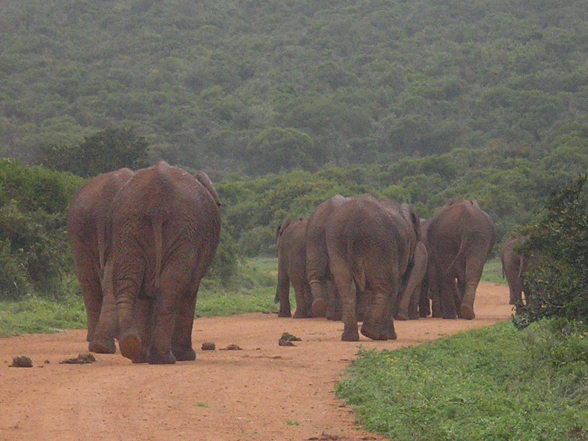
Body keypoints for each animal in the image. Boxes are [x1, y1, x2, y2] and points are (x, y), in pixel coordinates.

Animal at [110, 162, 220, 364]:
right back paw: (165, 358)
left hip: (127, 225)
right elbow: (190, 290)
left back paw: (134, 349)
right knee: (171, 289)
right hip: (184, 229)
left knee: (127, 282)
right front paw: (186, 357)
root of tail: (157, 207)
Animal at [326, 196, 418, 340]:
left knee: (347, 288)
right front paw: (389, 336)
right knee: (388, 286)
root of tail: (353, 221)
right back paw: (372, 334)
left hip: (336, 244)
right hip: (379, 243)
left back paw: (350, 338)